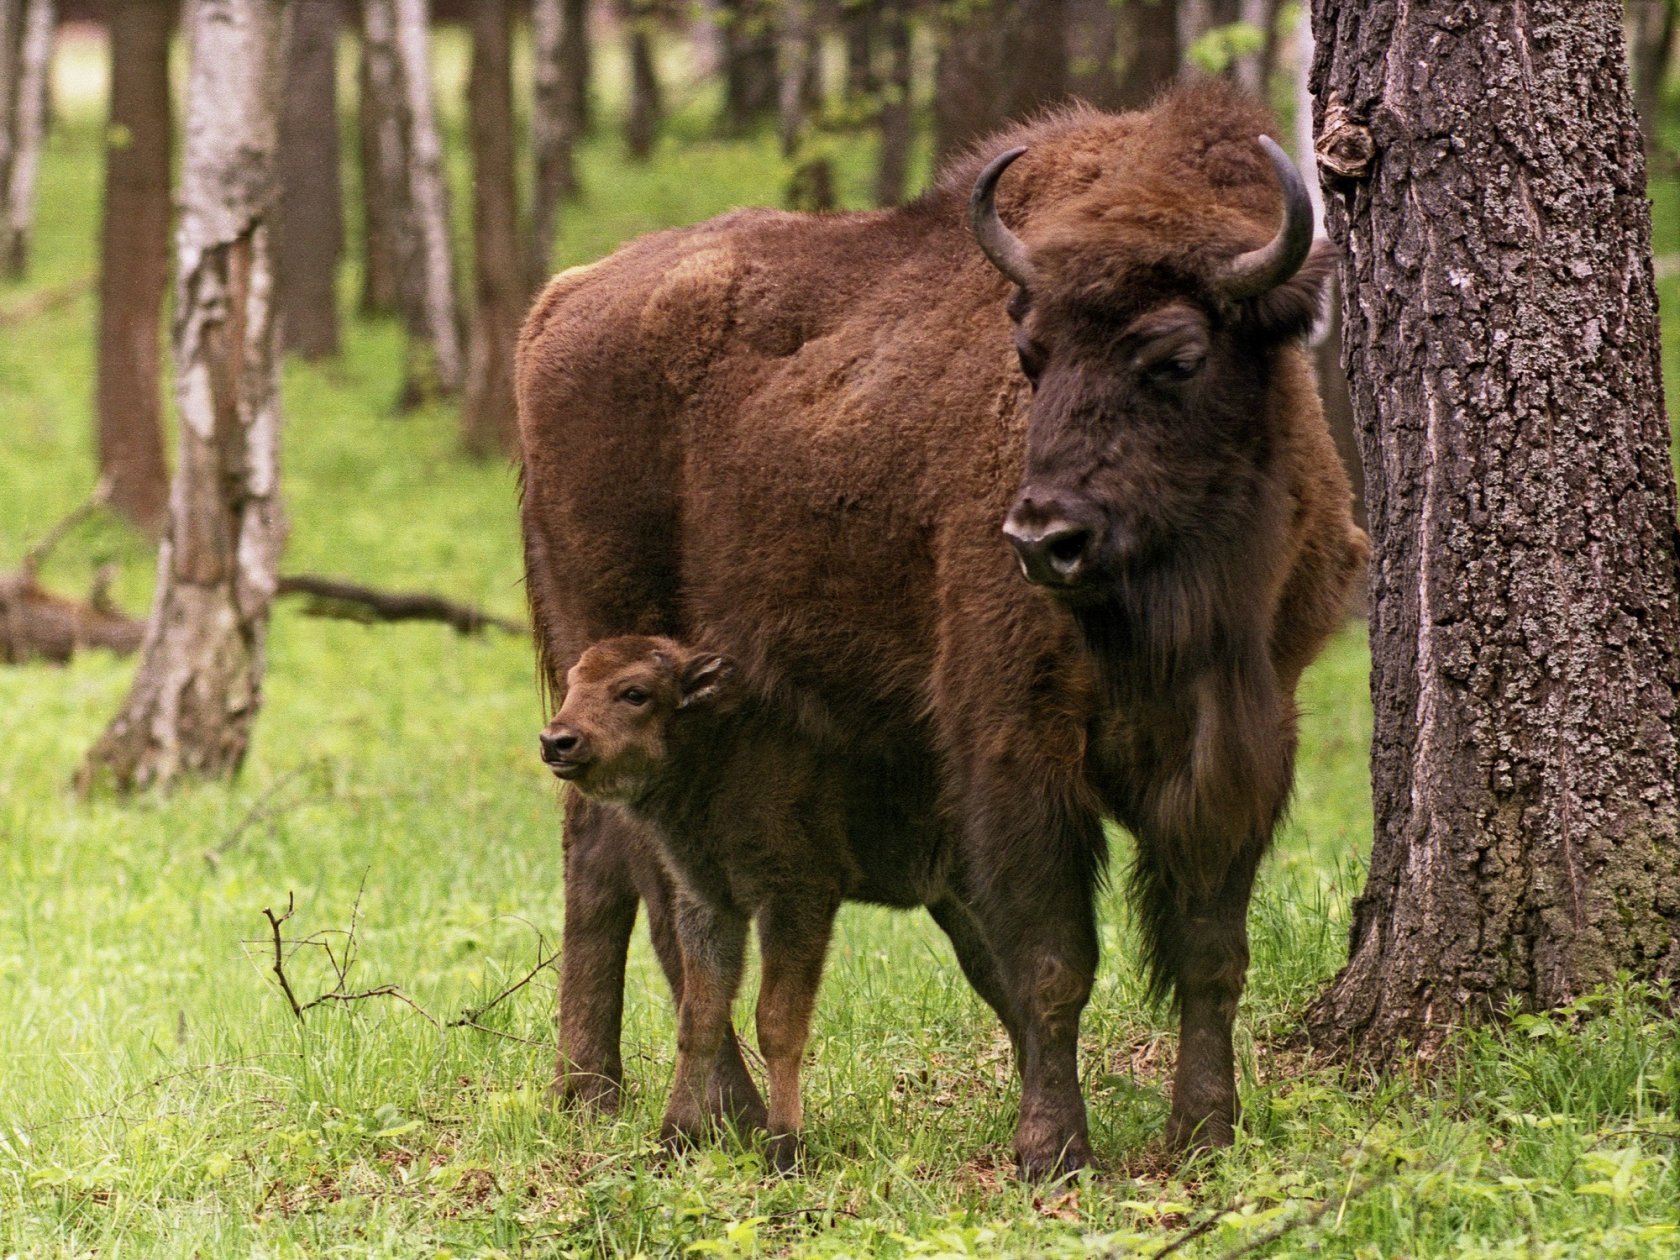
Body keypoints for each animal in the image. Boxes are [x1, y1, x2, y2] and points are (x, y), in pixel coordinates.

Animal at [517, 84, 1370, 1182]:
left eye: (1177, 358)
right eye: (1031, 357)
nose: (1042, 538)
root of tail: (560, 301)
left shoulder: (1249, 738)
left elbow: (1211, 951)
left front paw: (1203, 1135)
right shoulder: (1015, 740)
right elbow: (1054, 959)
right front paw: (1053, 1148)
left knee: (604, 861)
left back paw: (607, 1093)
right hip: (615, 660)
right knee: (646, 884)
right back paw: (697, 1111)